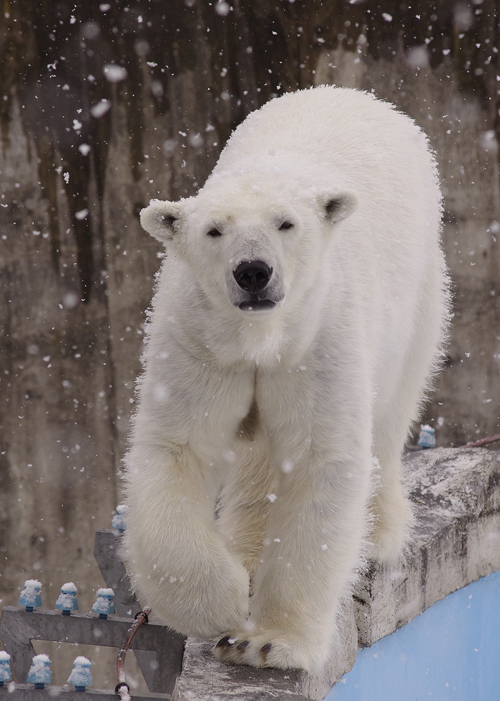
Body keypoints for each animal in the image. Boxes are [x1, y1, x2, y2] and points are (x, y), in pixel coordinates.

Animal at [124, 87, 450, 672]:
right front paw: (225, 602)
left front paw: (266, 641)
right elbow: (180, 449)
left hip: (417, 298)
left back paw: (381, 533)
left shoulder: (317, 338)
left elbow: (321, 459)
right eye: (214, 230)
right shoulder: (201, 341)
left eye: (286, 224)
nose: (253, 271)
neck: (260, 337)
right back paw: (248, 553)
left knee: (393, 408)